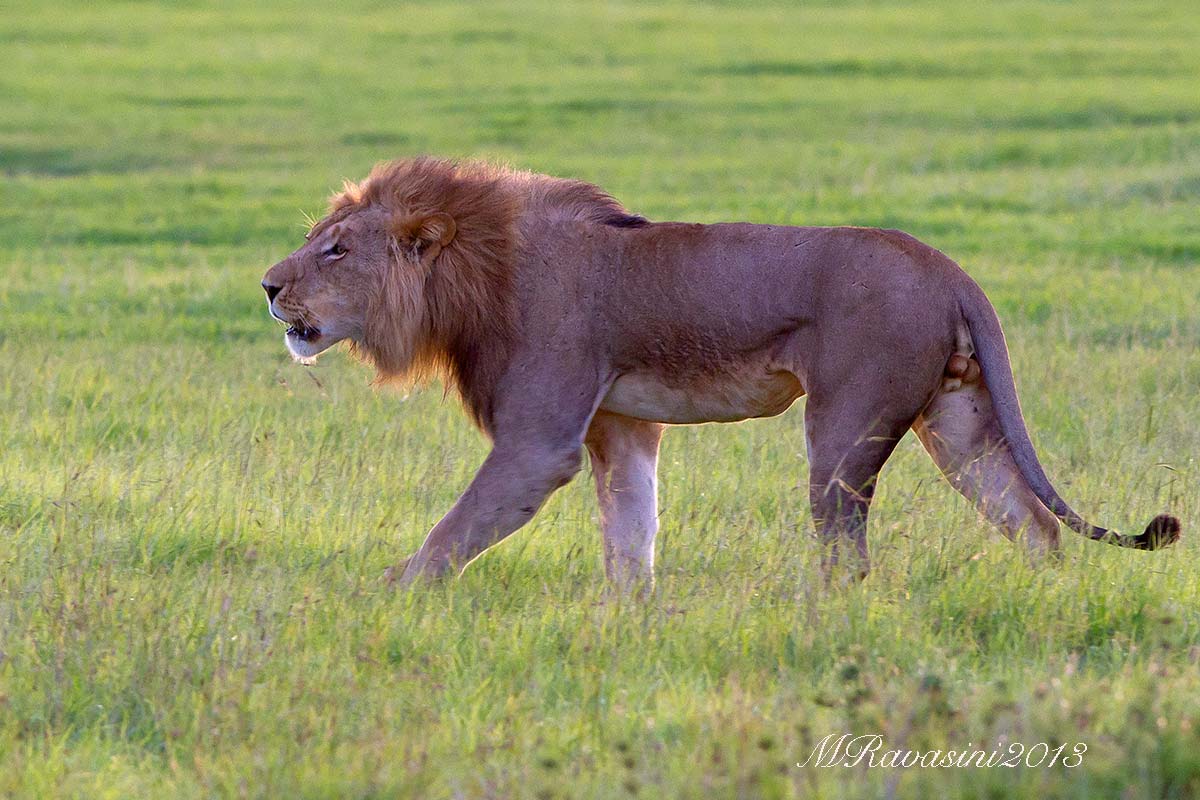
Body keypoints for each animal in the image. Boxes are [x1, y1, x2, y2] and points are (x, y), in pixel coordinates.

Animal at [261, 157, 1180, 589]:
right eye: (315, 240)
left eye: (336, 250)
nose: (268, 286)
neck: (476, 278)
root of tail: (951, 269)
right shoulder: (622, 427)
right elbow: (630, 537)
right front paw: (629, 627)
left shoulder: (539, 442)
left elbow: (448, 537)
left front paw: (381, 599)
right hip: (958, 423)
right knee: (1035, 525)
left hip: (845, 427)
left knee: (847, 553)